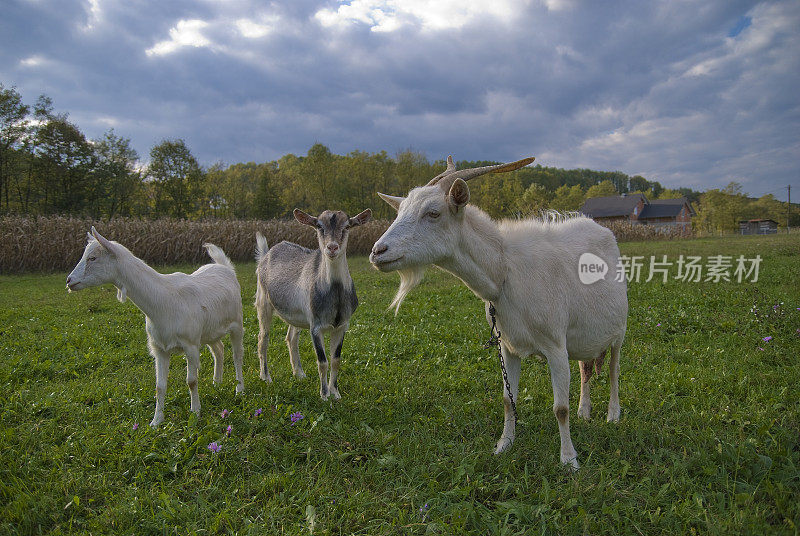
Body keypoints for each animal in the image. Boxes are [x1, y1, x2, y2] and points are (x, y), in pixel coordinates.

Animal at [66, 227, 244, 428]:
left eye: (93, 258)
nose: (69, 280)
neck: (163, 300)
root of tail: (224, 267)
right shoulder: (159, 348)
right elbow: (159, 386)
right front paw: (156, 421)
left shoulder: (190, 345)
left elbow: (191, 381)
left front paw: (195, 414)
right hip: (209, 331)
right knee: (219, 350)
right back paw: (217, 383)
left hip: (237, 323)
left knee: (237, 355)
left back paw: (239, 389)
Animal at [255, 207, 374, 400]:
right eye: (319, 226)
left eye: (347, 226)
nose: (332, 247)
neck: (335, 295)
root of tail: (266, 254)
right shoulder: (316, 326)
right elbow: (322, 361)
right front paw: (324, 395)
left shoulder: (342, 325)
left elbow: (336, 360)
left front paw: (336, 393)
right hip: (263, 301)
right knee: (263, 338)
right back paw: (266, 377)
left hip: (297, 314)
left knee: (291, 337)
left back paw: (299, 373)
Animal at [368, 156, 624, 468]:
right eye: (400, 211)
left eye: (433, 213)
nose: (378, 251)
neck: (503, 271)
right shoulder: (508, 346)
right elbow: (506, 400)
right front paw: (504, 445)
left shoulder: (555, 346)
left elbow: (559, 408)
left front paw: (569, 461)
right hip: (582, 338)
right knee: (586, 369)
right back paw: (584, 411)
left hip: (619, 332)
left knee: (613, 371)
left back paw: (612, 415)